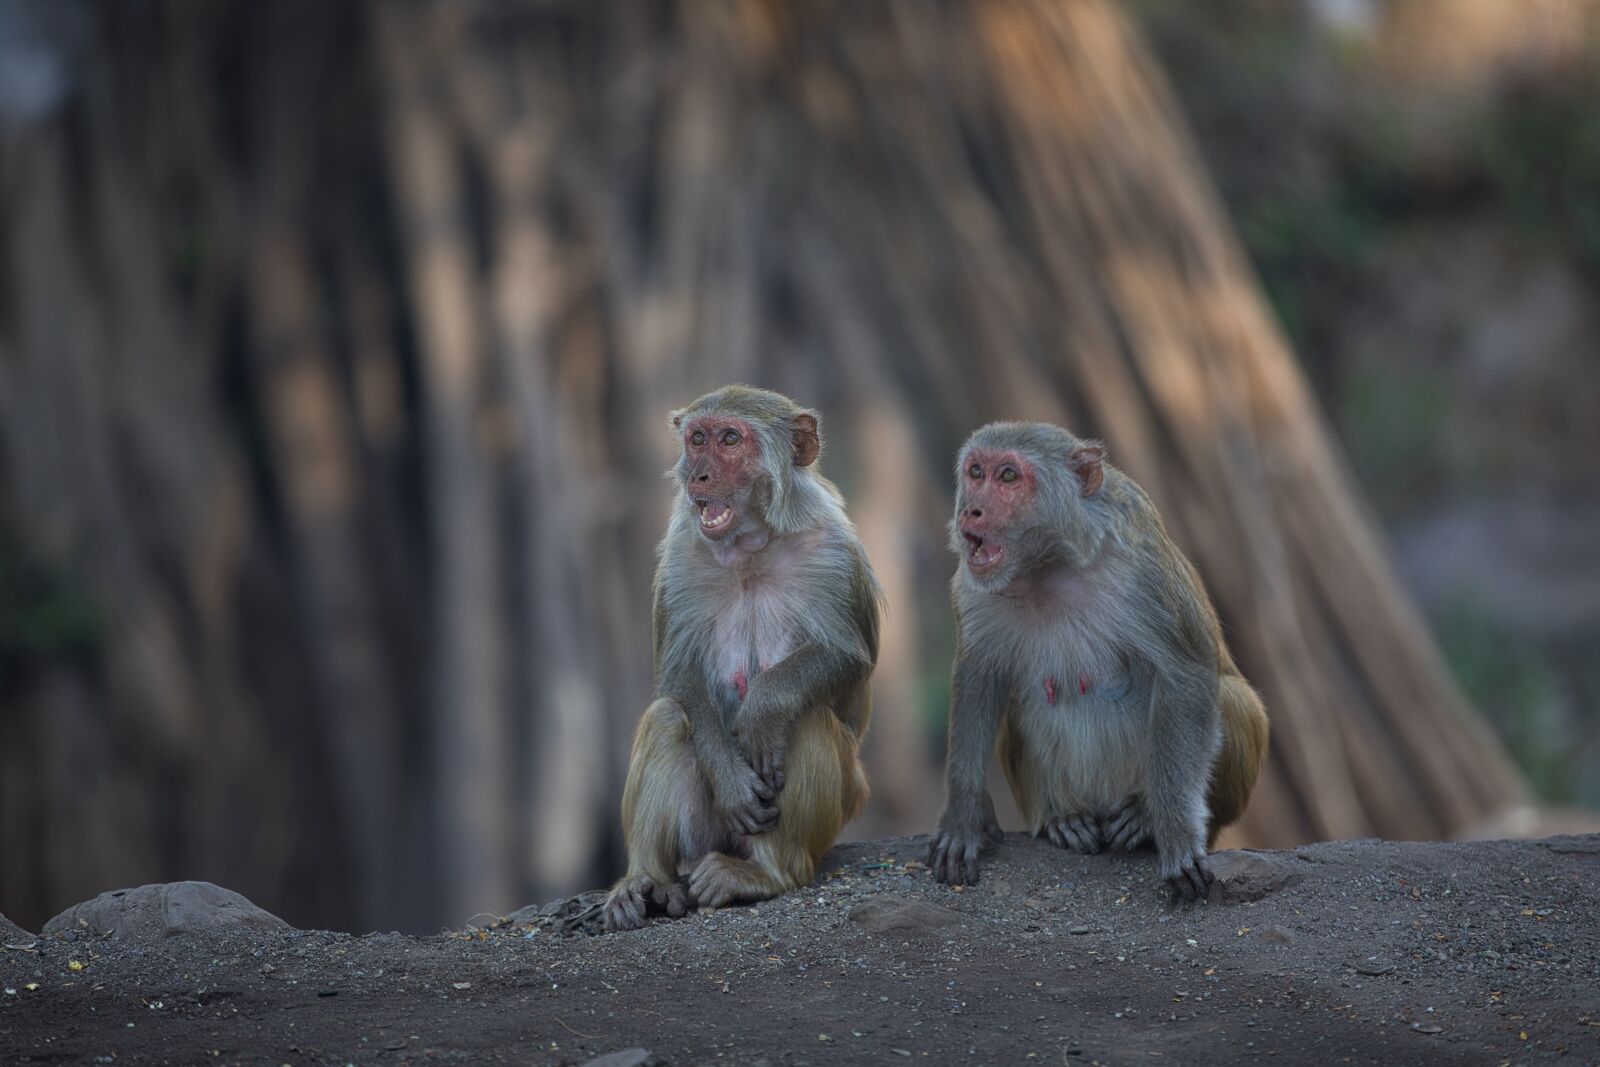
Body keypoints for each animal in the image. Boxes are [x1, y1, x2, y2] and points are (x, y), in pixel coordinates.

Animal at [601, 385, 883, 934]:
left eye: (731, 439)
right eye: (697, 439)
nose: (698, 475)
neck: (752, 546)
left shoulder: (835, 550)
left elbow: (846, 657)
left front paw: (762, 711)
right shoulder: (681, 553)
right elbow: (679, 674)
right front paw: (732, 783)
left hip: (838, 810)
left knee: (808, 719)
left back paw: (765, 875)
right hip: (706, 833)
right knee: (668, 717)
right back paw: (646, 883)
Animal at [934, 422, 1267, 895]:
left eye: (1009, 477)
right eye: (976, 471)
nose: (972, 511)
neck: (1050, 566)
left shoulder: (1142, 570)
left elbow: (1185, 674)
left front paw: (1175, 833)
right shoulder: (974, 587)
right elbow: (979, 677)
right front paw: (964, 817)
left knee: (1233, 699)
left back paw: (1142, 816)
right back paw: (1062, 816)